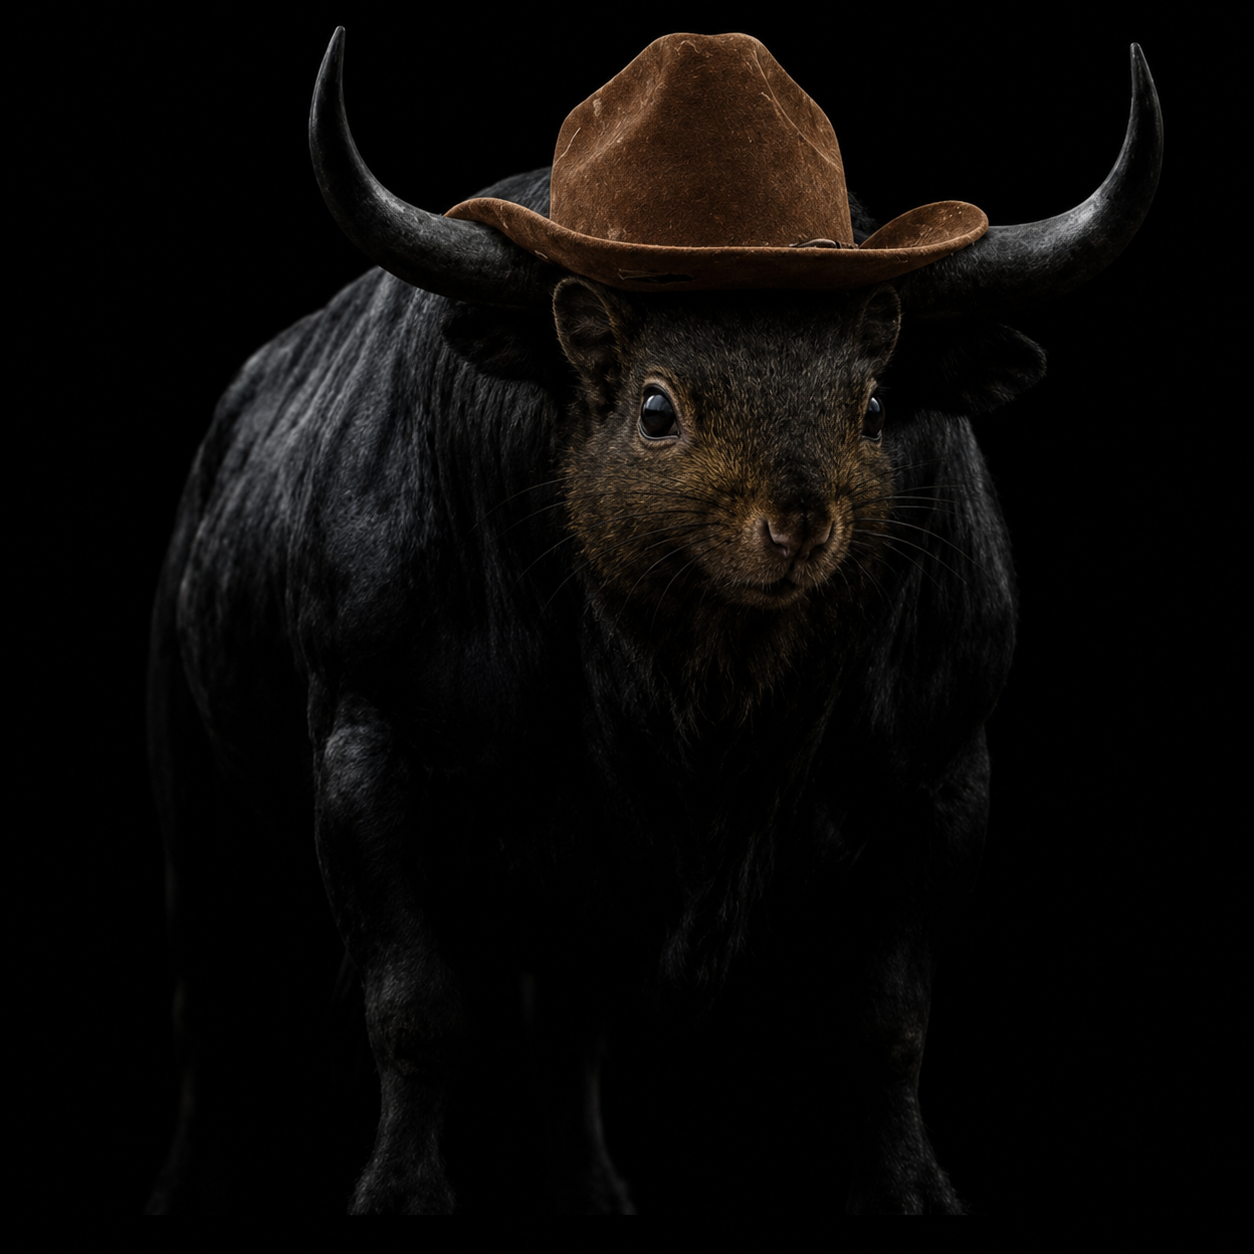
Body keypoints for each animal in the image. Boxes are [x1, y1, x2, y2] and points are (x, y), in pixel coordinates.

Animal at [146, 30, 1161, 1214]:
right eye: (656, 407)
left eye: (871, 404)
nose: (797, 525)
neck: (698, 705)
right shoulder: (369, 755)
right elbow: (416, 1009)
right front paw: (401, 1192)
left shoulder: (945, 779)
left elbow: (888, 1025)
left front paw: (914, 1189)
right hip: (200, 809)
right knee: (207, 1004)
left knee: (566, 1027)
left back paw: (592, 1186)